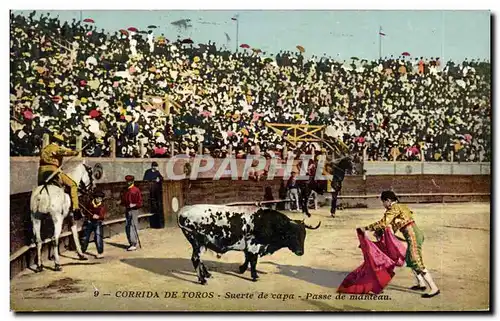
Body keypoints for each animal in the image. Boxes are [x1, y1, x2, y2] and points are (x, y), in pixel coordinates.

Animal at [178, 204, 322, 284]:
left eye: (304, 235)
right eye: (291, 235)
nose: (300, 252)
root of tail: (183, 211)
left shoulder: (249, 247)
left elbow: (247, 258)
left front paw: (242, 269)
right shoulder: (254, 245)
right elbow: (253, 261)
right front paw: (254, 276)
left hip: (200, 245)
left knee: (199, 260)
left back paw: (207, 275)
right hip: (198, 243)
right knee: (195, 259)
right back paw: (202, 280)